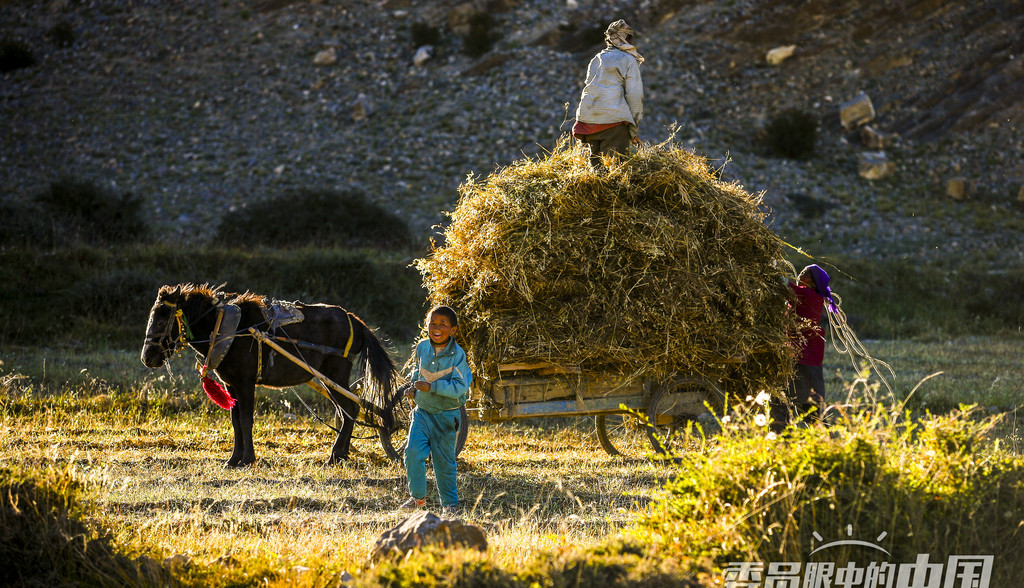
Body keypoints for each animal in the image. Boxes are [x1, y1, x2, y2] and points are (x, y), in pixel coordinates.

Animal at [142, 282, 397, 467]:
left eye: (162, 320)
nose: (147, 358)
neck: (228, 329)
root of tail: (355, 321)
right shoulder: (231, 384)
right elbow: (235, 421)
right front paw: (233, 459)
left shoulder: (245, 383)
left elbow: (246, 420)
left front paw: (247, 459)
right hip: (329, 379)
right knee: (347, 411)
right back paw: (341, 454)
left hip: (335, 373)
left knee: (350, 408)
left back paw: (335, 455)